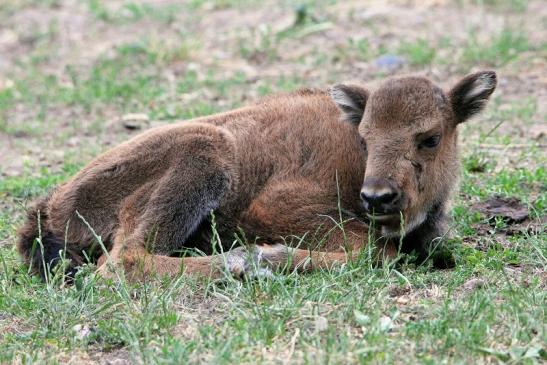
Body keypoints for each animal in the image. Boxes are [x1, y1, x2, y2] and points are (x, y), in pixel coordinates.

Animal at [16, 71, 496, 280]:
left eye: (430, 138)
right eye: (366, 135)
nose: (378, 197)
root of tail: (48, 207)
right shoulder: (278, 208)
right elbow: (371, 252)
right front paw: (269, 256)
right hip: (204, 154)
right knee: (122, 262)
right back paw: (243, 264)